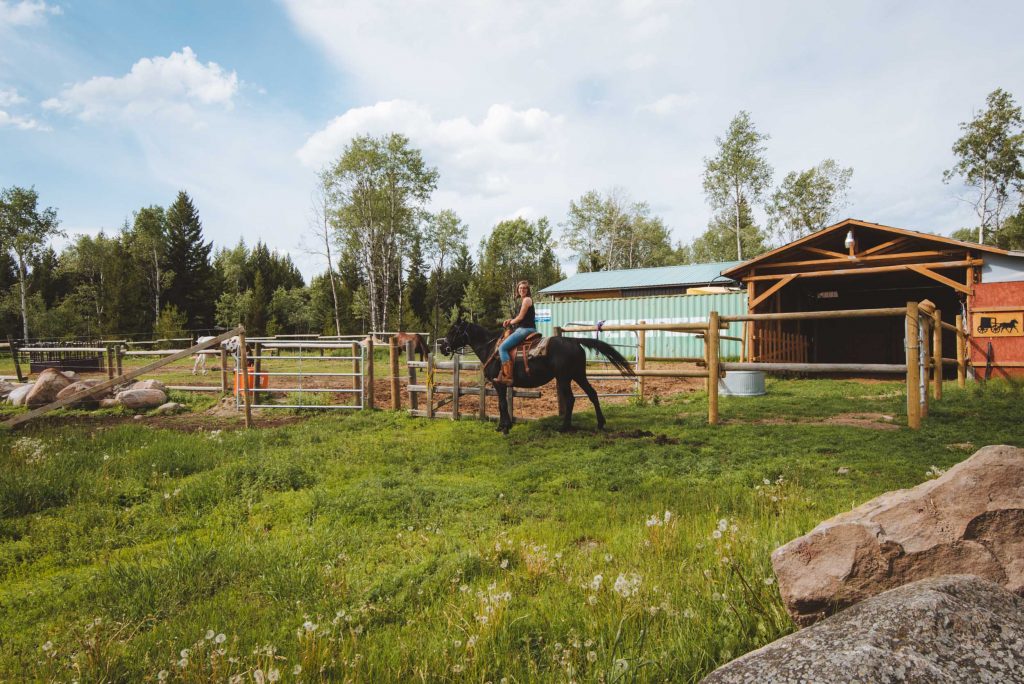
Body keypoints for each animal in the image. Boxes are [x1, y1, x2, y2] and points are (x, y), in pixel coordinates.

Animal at [438, 321, 630, 432]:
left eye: (454, 330)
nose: (442, 347)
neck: (491, 348)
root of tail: (573, 341)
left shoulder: (498, 384)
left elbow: (502, 404)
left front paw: (504, 427)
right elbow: (502, 404)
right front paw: (504, 425)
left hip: (564, 378)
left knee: (571, 399)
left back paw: (564, 426)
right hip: (578, 375)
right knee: (592, 394)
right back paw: (600, 423)